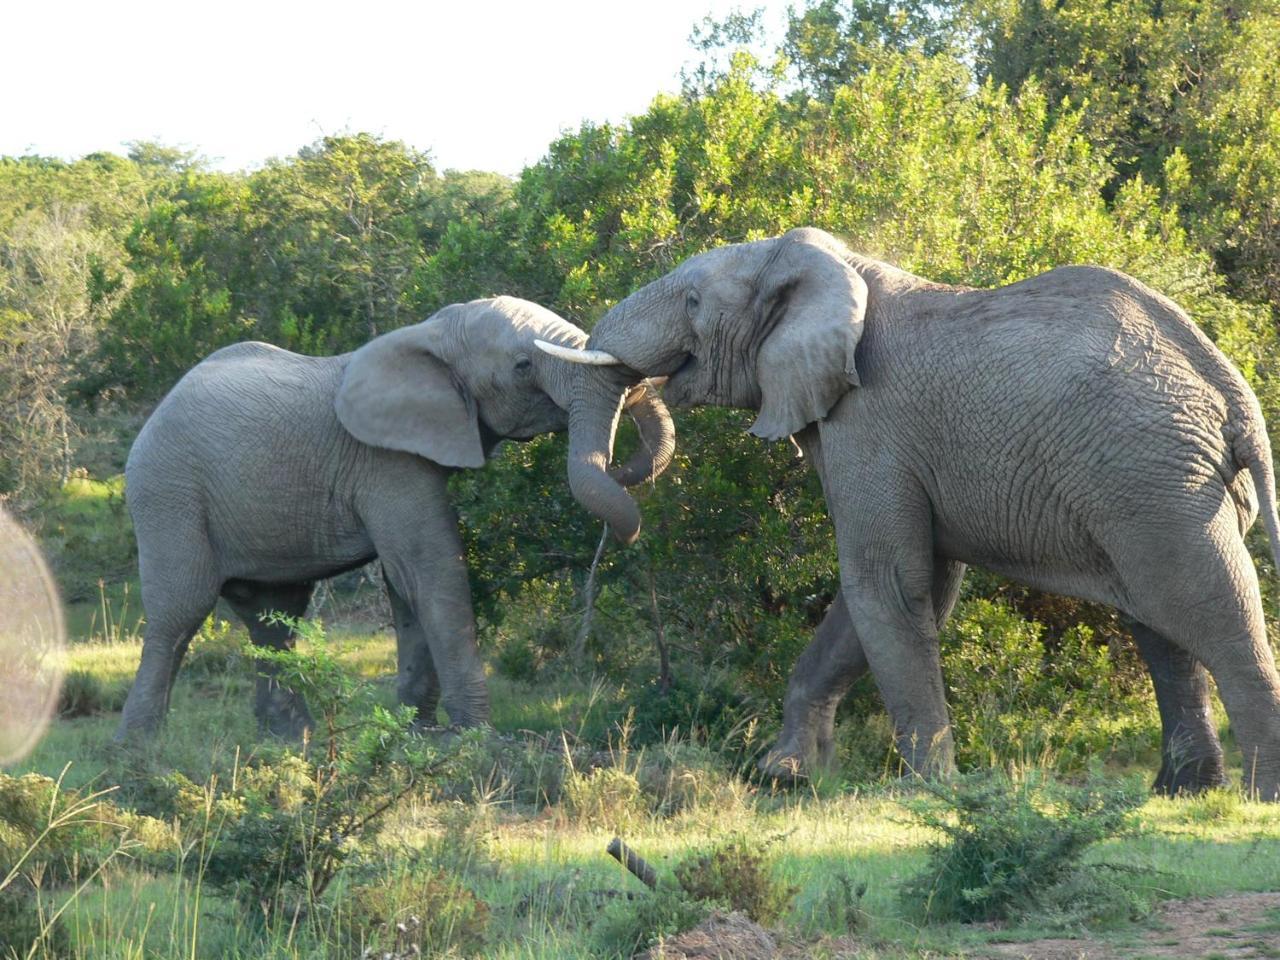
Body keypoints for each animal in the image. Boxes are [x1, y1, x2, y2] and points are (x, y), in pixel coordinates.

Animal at [117, 299, 680, 742]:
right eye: (522, 365)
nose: (623, 474)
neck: (430, 332)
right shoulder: (386, 461)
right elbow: (430, 570)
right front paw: (476, 737)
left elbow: (407, 585)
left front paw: (418, 731)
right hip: (168, 492)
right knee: (180, 612)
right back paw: (140, 753)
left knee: (274, 616)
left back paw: (290, 743)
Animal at [540, 229, 1280, 798]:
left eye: (693, 302)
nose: (629, 512)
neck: (822, 267)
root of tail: (1234, 396)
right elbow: (896, 590)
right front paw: (785, 776)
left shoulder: (872, 424)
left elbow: (888, 584)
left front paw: (926, 791)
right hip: (1150, 484)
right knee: (1159, 622)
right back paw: (1182, 792)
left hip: (1156, 480)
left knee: (1211, 606)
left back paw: (1255, 797)